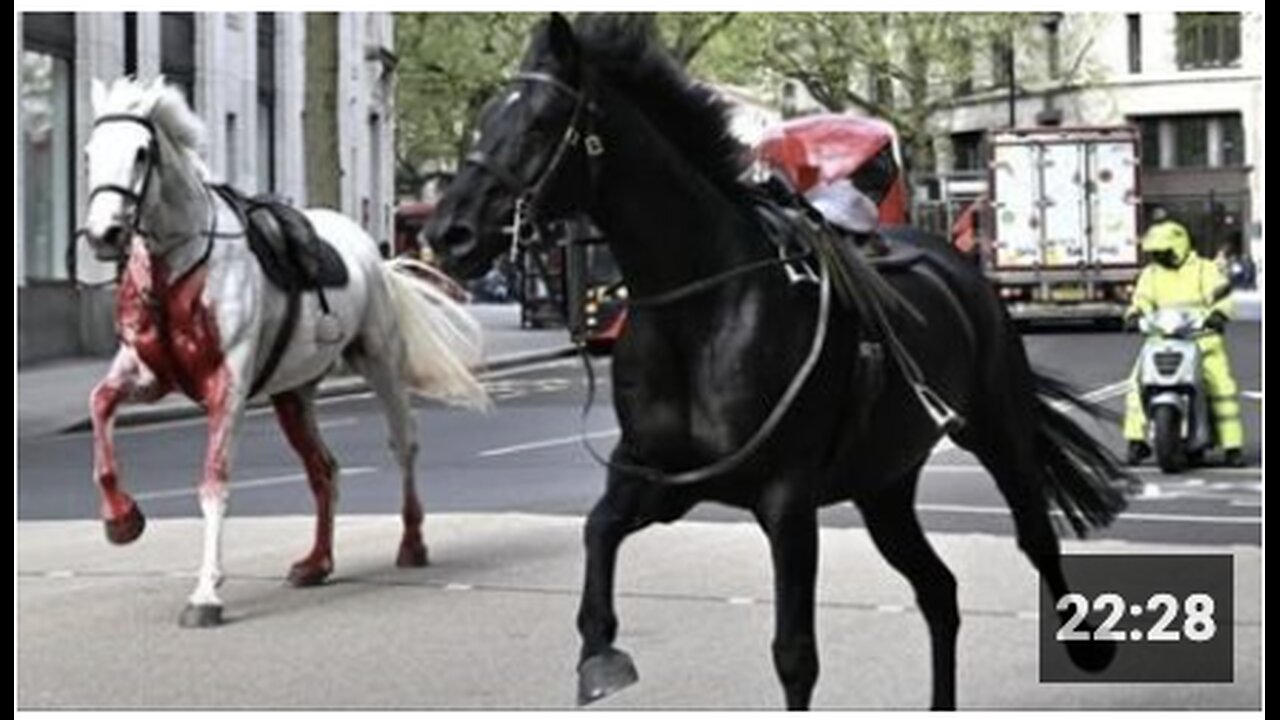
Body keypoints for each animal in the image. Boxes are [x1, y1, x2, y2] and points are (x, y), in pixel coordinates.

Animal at [81, 78, 488, 625]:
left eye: (142, 152)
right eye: (88, 152)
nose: (102, 235)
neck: (179, 266)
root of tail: (372, 252)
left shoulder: (227, 386)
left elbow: (214, 483)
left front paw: (206, 593)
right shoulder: (147, 374)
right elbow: (100, 406)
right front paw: (122, 519)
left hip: (380, 362)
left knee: (404, 445)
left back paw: (411, 543)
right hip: (293, 393)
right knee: (324, 469)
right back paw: (316, 563)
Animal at [427, 14, 1131, 707]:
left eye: (541, 122)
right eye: (485, 119)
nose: (446, 233)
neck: (701, 309)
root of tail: (956, 262)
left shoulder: (786, 501)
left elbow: (795, 656)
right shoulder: (658, 480)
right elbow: (597, 533)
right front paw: (599, 654)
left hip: (997, 431)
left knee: (1033, 538)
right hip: (883, 484)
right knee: (938, 590)